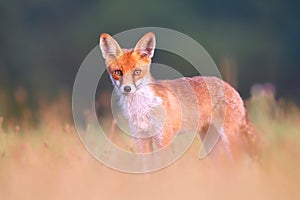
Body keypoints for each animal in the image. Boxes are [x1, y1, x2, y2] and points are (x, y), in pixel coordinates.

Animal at [99, 31, 258, 159]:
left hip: (229, 141)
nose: (127, 89)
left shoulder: (163, 140)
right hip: (211, 146)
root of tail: (231, 87)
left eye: (136, 72)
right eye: (118, 72)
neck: (143, 109)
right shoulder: (142, 142)